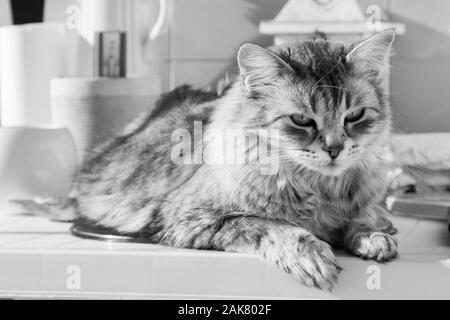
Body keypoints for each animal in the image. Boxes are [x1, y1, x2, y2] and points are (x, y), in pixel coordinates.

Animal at [15, 29, 400, 290]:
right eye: (302, 120)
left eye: (355, 116)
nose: (335, 149)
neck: (319, 189)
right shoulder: (191, 218)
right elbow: (270, 226)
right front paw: (310, 253)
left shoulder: (360, 201)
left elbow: (363, 218)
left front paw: (374, 236)